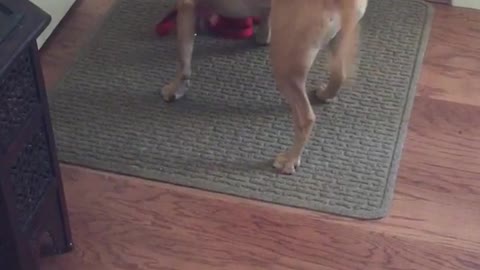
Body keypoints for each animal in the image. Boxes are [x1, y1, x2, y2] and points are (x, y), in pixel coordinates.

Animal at [161, 0, 368, 174]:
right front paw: (262, 36)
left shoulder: (186, 7)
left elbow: (183, 58)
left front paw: (175, 88)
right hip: (338, 41)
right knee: (339, 75)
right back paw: (325, 94)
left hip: (285, 66)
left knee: (306, 118)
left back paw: (290, 159)